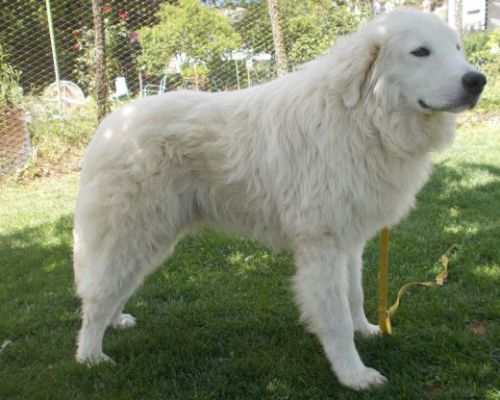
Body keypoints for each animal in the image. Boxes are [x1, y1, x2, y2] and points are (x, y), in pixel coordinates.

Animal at [73, 10, 486, 390]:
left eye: (457, 48)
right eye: (420, 52)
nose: (478, 80)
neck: (363, 118)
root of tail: (110, 125)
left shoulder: (349, 242)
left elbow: (354, 294)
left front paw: (366, 329)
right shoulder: (321, 246)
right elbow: (335, 318)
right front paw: (353, 374)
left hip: (150, 238)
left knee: (116, 286)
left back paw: (115, 321)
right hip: (132, 232)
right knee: (98, 295)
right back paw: (91, 356)